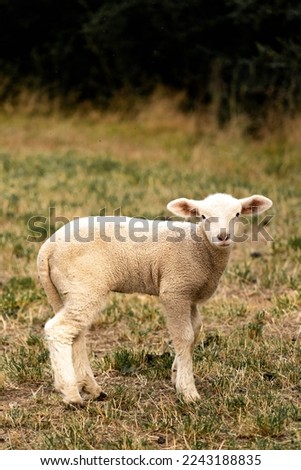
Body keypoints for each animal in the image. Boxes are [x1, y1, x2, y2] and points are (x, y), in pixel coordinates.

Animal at [37, 192, 272, 404]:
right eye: (203, 216)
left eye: (237, 214)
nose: (223, 236)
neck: (200, 247)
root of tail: (48, 247)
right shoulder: (175, 290)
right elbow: (184, 335)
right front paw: (188, 391)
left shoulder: (190, 296)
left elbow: (195, 331)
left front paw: (177, 374)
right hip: (84, 286)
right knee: (59, 330)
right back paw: (70, 394)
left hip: (73, 291)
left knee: (76, 332)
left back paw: (91, 388)